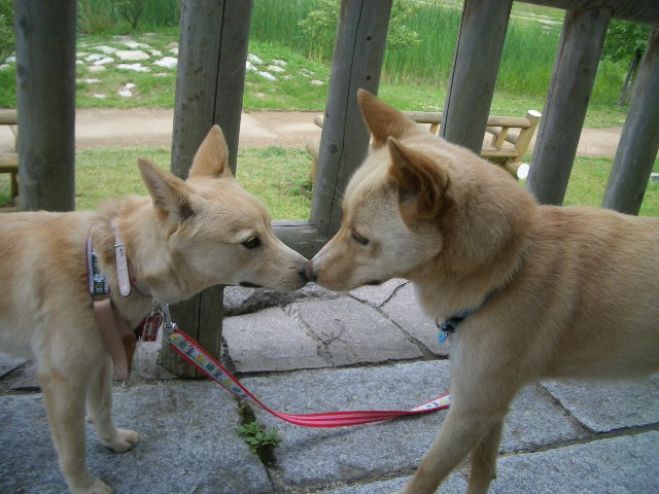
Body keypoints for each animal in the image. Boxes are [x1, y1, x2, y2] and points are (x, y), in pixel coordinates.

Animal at [0, 125, 310, 492]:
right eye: (251, 242)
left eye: (272, 229)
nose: (310, 270)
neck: (110, 267)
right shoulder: (64, 379)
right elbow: (73, 449)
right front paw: (84, 486)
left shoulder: (100, 360)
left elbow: (103, 409)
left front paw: (113, 441)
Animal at [310, 89, 659, 494]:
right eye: (342, 219)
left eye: (361, 237)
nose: (309, 270)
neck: (509, 269)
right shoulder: (490, 401)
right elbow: (482, 467)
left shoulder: (473, 407)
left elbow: (425, 475)